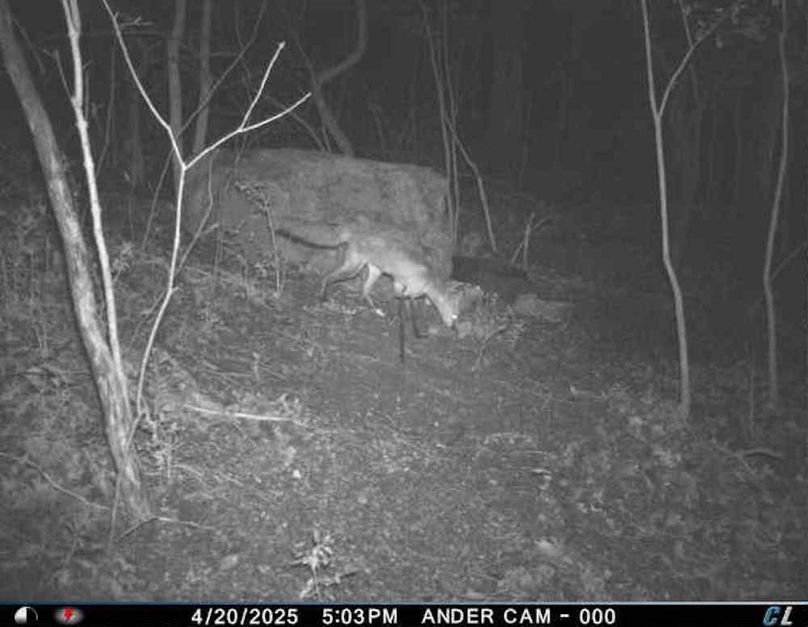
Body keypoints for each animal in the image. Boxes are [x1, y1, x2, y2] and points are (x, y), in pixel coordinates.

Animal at [274, 220, 459, 331]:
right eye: (454, 315)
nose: (452, 326)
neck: (430, 279)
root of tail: (357, 230)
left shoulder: (398, 283)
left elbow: (402, 303)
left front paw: (398, 317)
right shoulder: (406, 288)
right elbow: (403, 304)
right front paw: (401, 319)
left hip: (374, 271)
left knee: (364, 290)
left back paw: (376, 310)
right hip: (352, 269)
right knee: (327, 277)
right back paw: (323, 297)